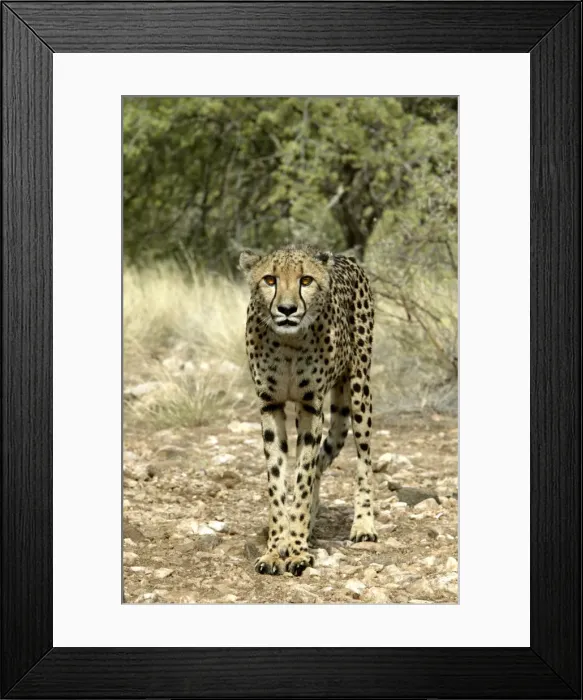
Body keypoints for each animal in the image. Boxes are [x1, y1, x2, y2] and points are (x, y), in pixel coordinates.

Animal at [239, 243, 377, 577]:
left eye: (305, 281)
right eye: (270, 280)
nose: (287, 309)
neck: (288, 342)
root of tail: (343, 257)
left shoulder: (310, 407)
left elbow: (302, 478)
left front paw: (298, 551)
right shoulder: (270, 405)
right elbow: (279, 479)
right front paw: (276, 548)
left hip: (359, 390)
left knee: (363, 459)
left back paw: (363, 525)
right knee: (323, 460)